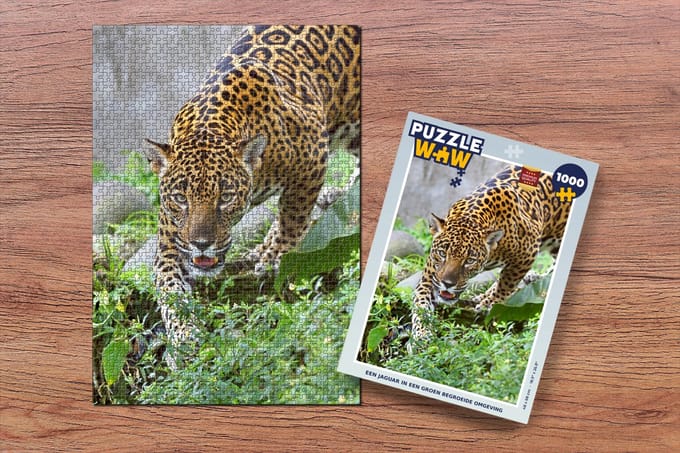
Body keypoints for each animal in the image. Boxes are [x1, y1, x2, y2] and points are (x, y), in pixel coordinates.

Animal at [144, 25, 361, 367]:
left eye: (225, 197)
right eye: (180, 198)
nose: (201, 243)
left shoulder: (313, 155)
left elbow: (292, 217)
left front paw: (273, 257)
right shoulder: (171, 240)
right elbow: (170, 289)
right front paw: (184, 338)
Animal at [409, 165, 571, 343]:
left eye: (469, 260)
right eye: (442, 253)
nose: (448, 284)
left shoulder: (528, 251)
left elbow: (506, 283)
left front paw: (489, 303)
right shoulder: (431, 275)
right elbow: (421, 303)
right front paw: (421, 335)